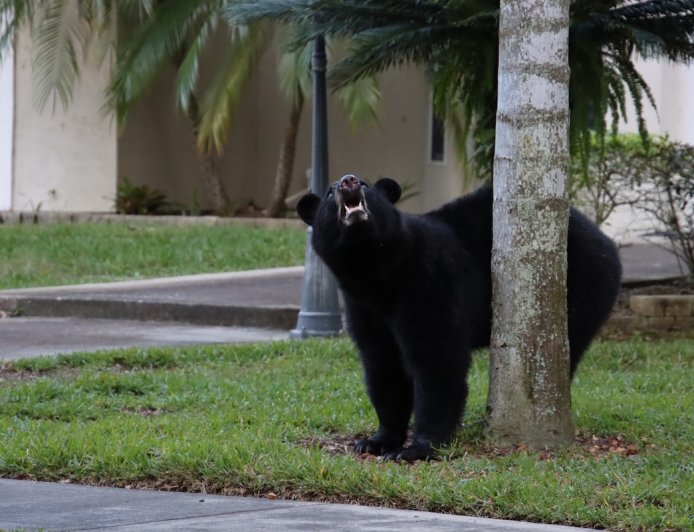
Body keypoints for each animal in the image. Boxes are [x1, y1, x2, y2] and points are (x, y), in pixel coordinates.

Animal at [296, 174, 622, 461]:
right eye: (329, 192)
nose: (348, 181)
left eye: (364, 184)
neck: (376, 270)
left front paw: (416, 448)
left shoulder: (429, 279)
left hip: (582, 283)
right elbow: (382, 364)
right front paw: (376, 441)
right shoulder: (362, 307)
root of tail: (605, 239)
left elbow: (436, 358)